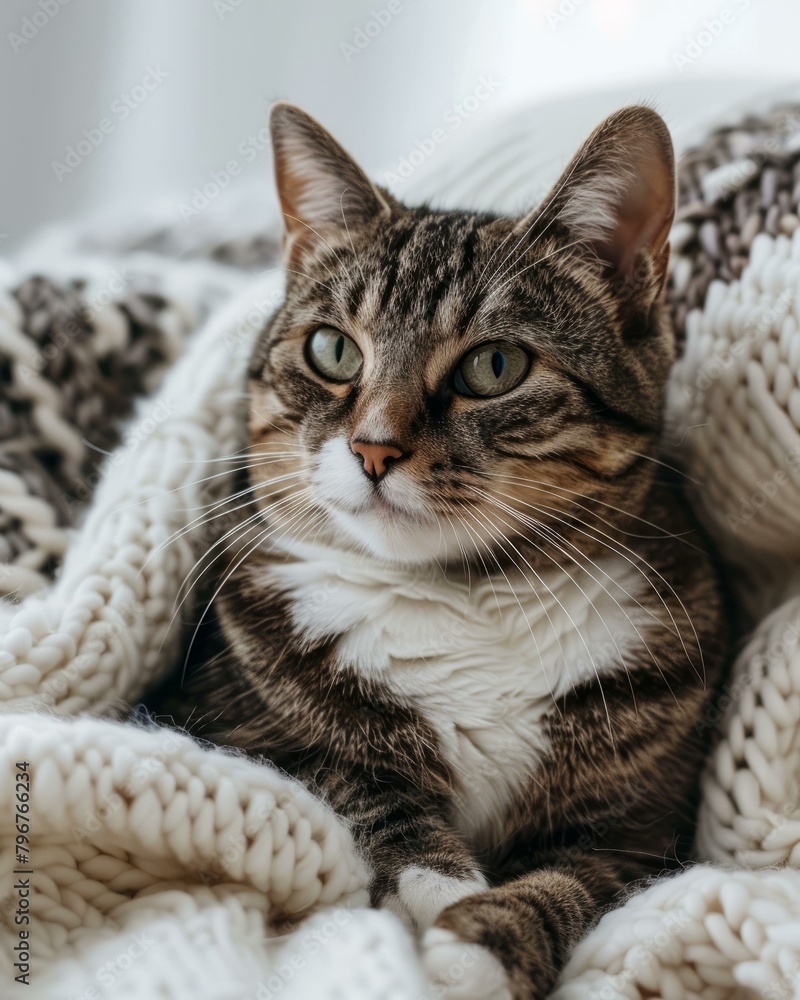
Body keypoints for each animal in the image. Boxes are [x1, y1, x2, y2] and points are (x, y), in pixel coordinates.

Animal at [170, 105, 732, 996]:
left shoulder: (640, 831)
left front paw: (478, 945)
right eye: (333, 350)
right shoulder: (229, 725)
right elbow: (352, 785)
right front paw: (438, 896)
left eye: (494, 366)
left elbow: (573, 884)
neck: (467, 596)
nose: (373, 447)